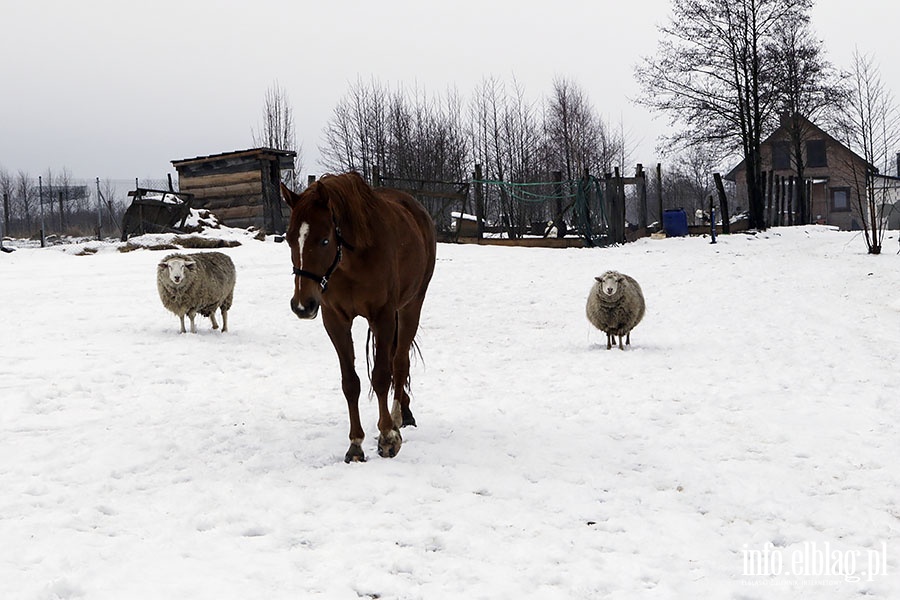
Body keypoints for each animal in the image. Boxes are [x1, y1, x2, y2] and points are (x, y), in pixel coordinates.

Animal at [282, 171, 436, 462]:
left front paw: (388, 437)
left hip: (410, 307)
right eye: (289, 239)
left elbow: (381, 376)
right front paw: (355, 444)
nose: (302, 305)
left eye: (325, 240)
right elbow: (350, 383)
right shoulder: (335, 320)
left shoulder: (383, 316)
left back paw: (397, 417)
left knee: (399, 363)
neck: (351, 263)